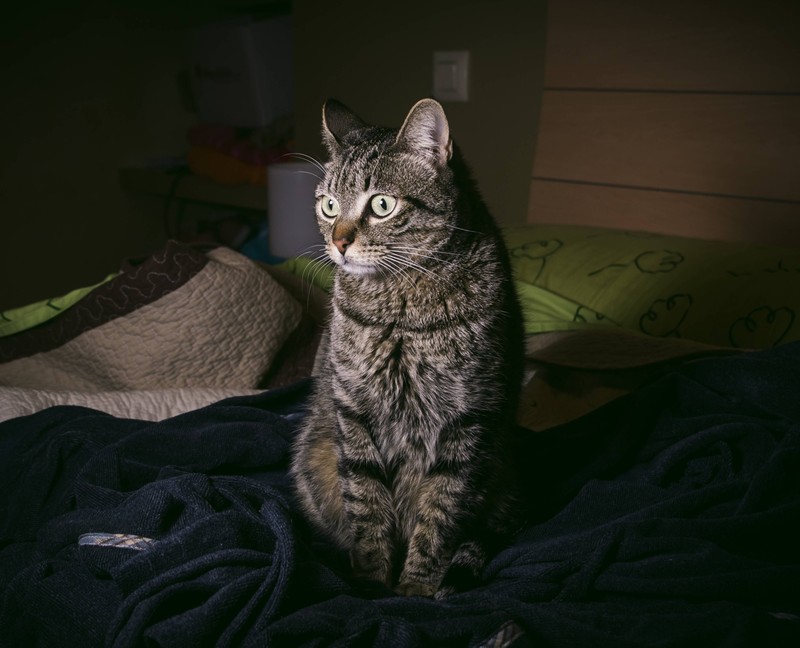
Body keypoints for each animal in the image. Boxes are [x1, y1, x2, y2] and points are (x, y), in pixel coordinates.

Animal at [290, 96, 524, 596]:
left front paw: (414, 590)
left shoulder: (467, 419)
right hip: (314, 454)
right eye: (329, 205)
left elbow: (439, 515)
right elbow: (368, 508)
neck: (399, 307)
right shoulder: (353, 410)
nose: (338, 242)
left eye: (382, 204)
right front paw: (371, 587)